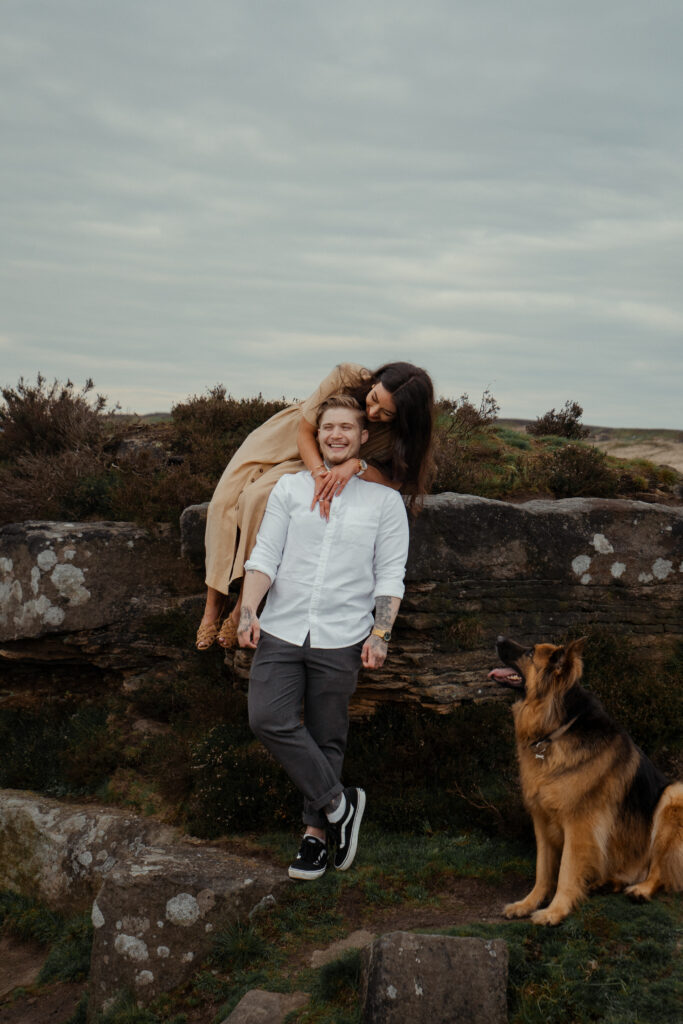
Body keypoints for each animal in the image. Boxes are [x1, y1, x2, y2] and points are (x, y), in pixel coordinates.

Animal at [491, 634, 683, 925]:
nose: (499, 638)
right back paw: (607, 883)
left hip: (673, 795)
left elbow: (566, 871)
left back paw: (642, 888)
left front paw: (554, 911)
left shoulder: (579, 825)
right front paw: (528, 903)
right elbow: (542, 870)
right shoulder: (541, 820)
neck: (556, 728)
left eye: (530, 652)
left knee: (660, 869)